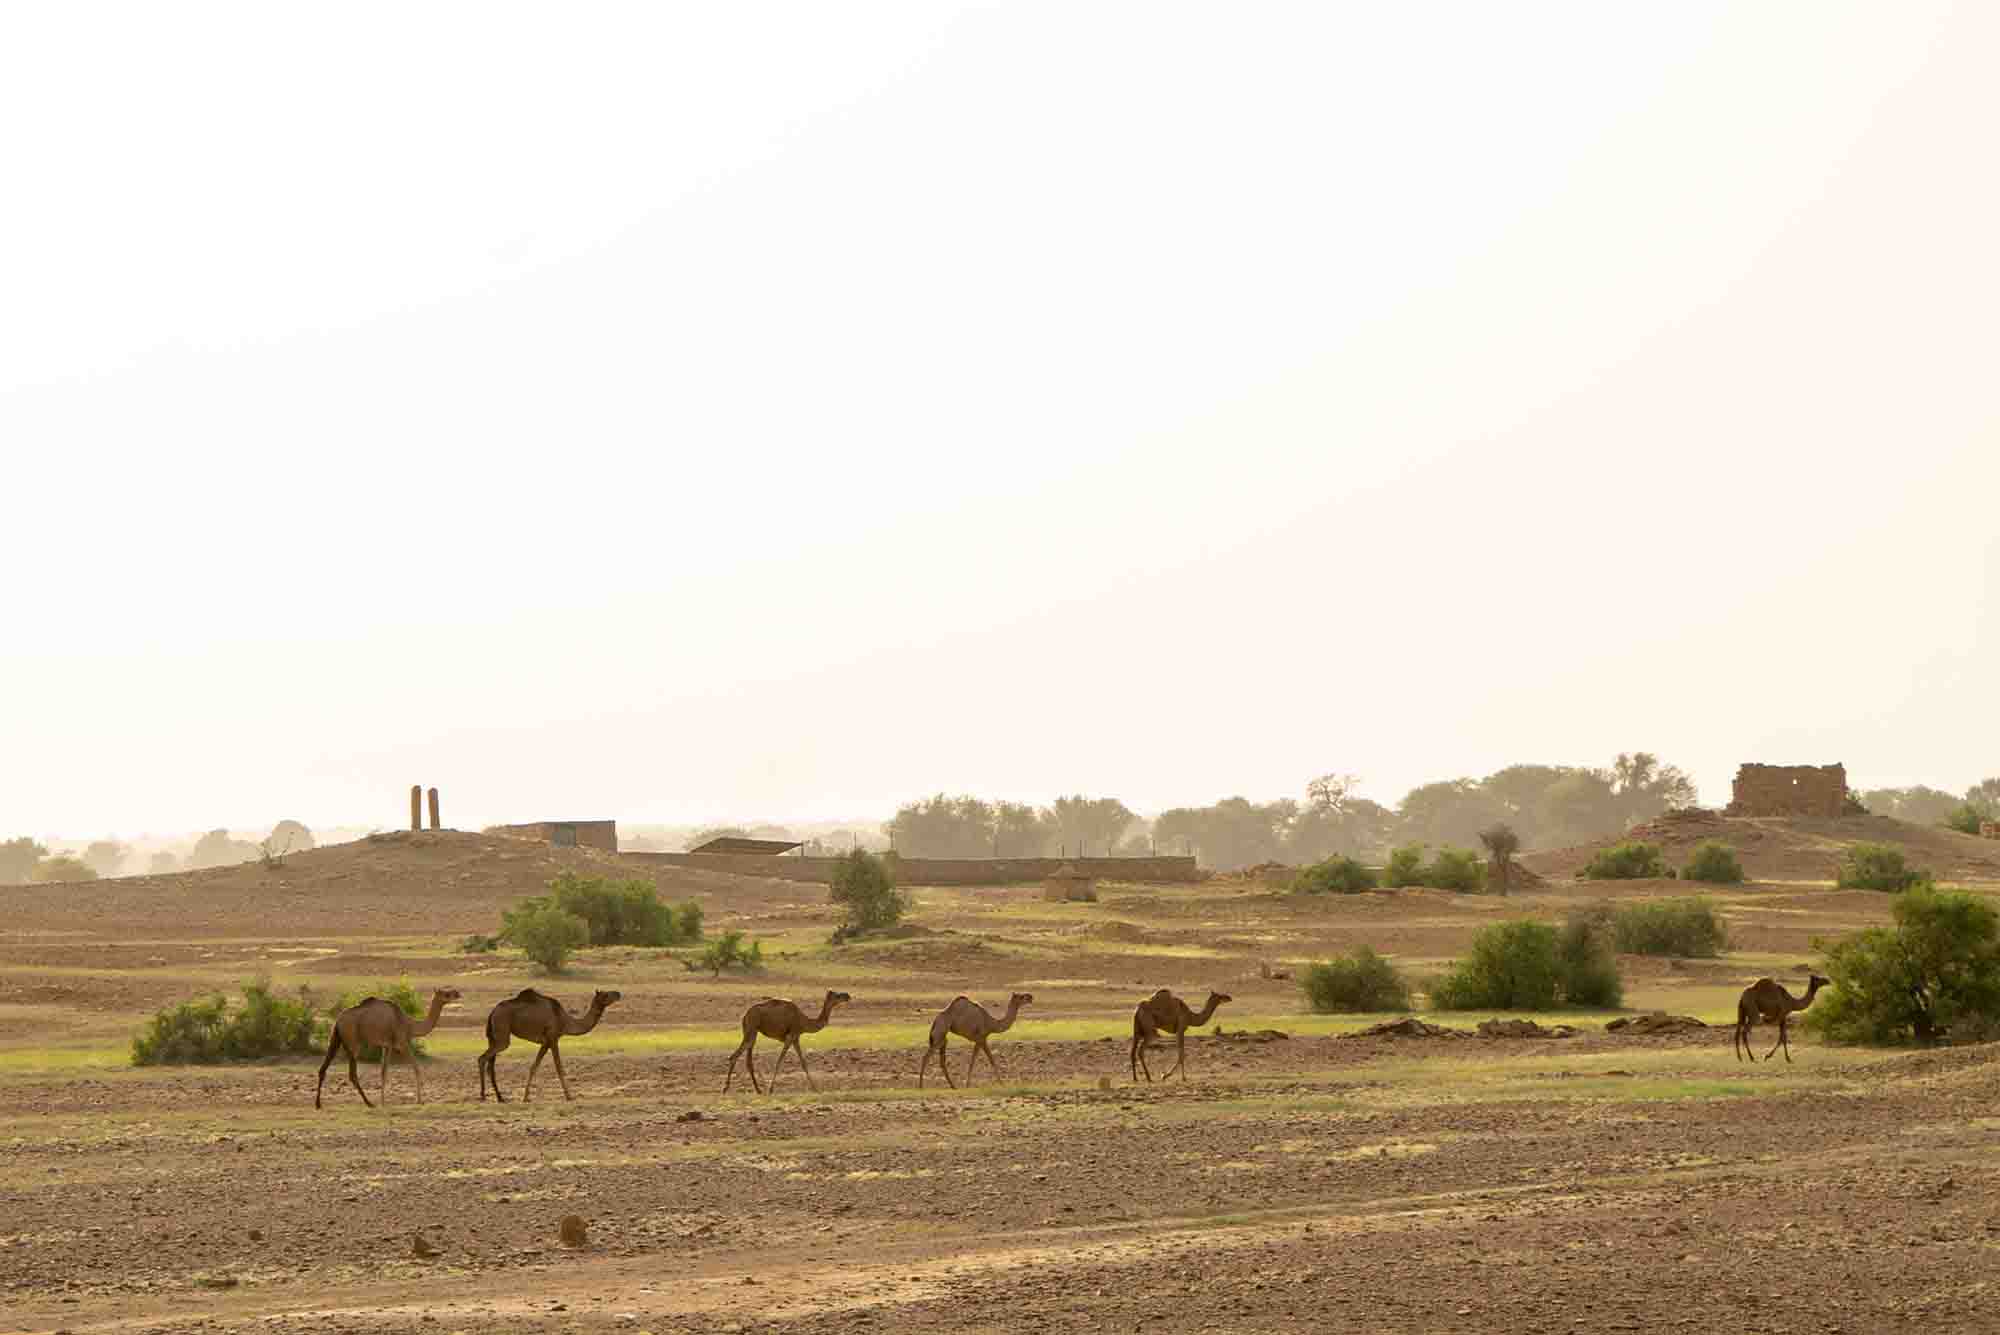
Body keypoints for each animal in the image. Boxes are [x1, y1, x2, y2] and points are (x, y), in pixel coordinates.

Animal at [315, 987, 461, 1108]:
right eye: (446, 993)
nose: (457, 993)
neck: (409, 1024)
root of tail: (338, 1020)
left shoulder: (386, 1045)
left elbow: (382, 1071)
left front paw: (383, 1101)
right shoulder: (400, 1043)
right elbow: (414, 1067)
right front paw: (419, 1101)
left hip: (336, 1037)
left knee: (323, 1068)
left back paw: (318, 1104)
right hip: (353, 1042)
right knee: (352, 1074)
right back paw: (369, 1103)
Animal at [476, 987, 621, 1103]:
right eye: (606, 995)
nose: (618, 993)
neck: (565, 1021)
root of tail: (492, 1012)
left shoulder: (546, 1042)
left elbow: (534, 1067)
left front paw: (526, 1097)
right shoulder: (553, 1038)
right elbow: (559, 1068)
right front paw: (569, 1096)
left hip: (494, 1037)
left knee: (490, 1065)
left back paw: (500, 1098)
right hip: (502, 1033)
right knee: (482, 1058)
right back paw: (483, 1096)